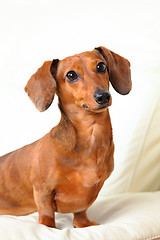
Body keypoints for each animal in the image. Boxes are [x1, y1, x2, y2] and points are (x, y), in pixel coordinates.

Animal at [0, 46, 131, 227]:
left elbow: (81, 210)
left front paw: (83, 224)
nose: (103, 96)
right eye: (71, 75)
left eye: (101, 66)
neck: (92, 135)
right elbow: (46, 212)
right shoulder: (43, 190)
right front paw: (48, 227)